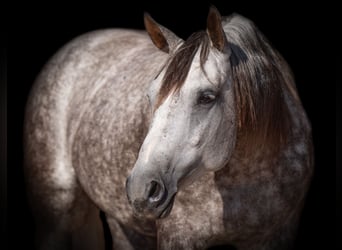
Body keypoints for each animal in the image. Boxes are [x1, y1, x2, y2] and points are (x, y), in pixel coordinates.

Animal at [23, 5, 312, 250]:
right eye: (150, 96)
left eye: (207, 97)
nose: (141, 189)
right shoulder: (180, 238)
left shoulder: (277, 236)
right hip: (55, 216)